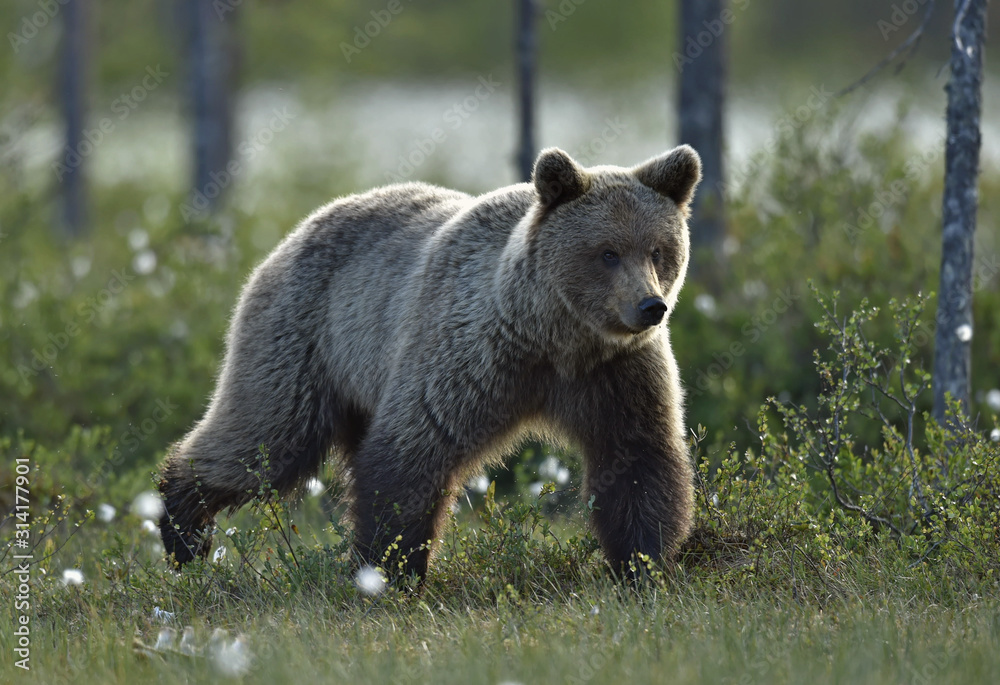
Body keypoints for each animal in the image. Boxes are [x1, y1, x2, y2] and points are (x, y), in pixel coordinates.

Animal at [158, 145, 701, 580]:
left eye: (659, 249)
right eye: (607, 252)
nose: (651, 306)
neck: (554, 338)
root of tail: (294, 232)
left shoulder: (615, 372)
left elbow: (638, 457)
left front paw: (642, 563)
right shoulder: (470, 354)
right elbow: (412, 452)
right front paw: (390, 569)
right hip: (304, 338)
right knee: (264, 437)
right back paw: (182, 530)